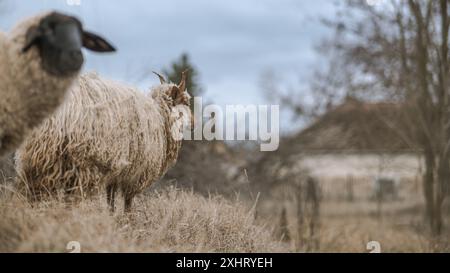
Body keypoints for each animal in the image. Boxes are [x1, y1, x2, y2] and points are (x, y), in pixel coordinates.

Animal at [15, 70, 192, 210]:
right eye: (186, 102)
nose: (194, 124)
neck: (160, 115)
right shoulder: (135, 173)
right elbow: (127, 202)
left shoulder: (117, 172)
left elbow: (110, 198)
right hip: (79, 162)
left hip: (41, 158)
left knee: (34, 193)